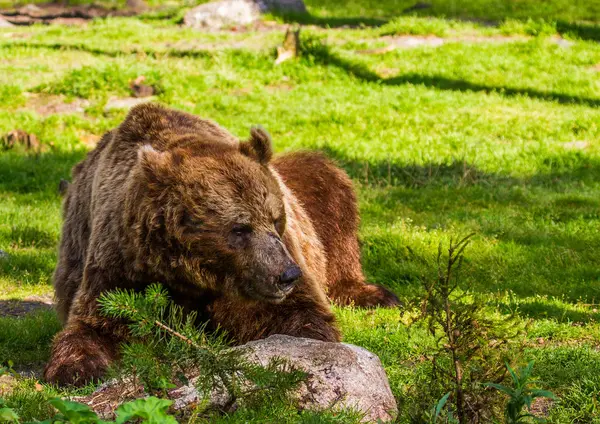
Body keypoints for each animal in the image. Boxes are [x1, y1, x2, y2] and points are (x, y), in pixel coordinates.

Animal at [43, 104, 398, 386]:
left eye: (276, 220)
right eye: (240, 228)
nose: (287, 275)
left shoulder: (254, 279)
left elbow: (297, 313)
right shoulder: (122, 263)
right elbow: (97, 323)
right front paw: (76, 369)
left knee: (329, 188)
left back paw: (372, 293)